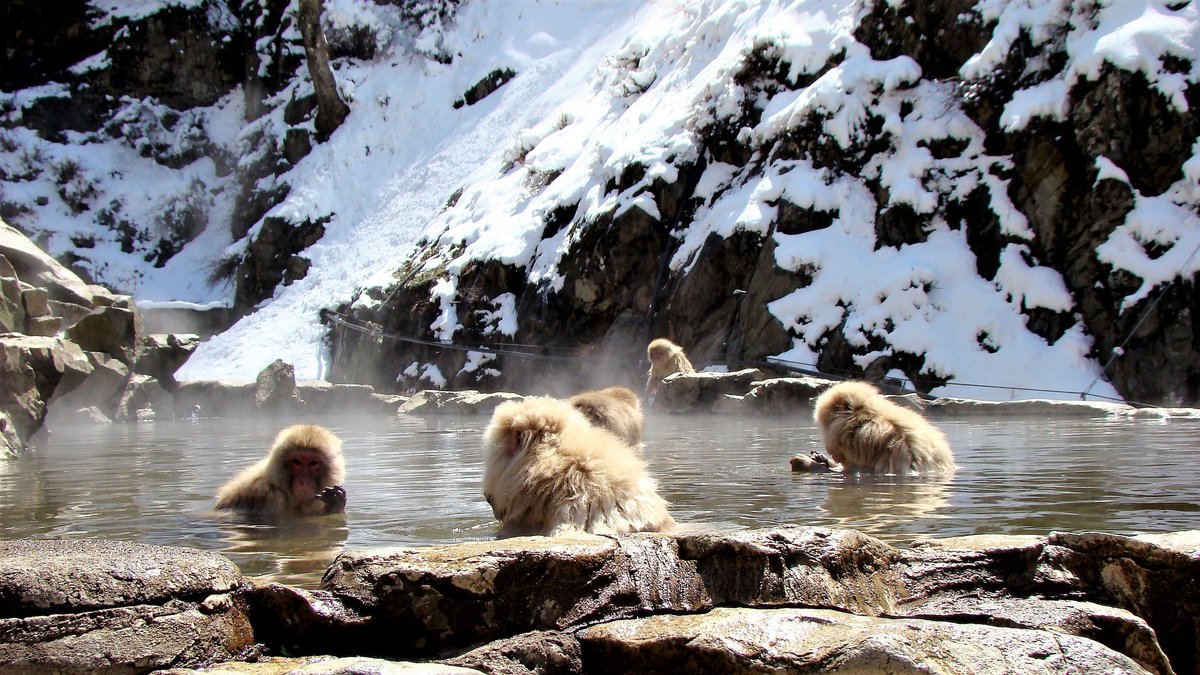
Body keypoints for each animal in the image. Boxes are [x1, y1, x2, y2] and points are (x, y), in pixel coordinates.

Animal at [214, 422, 348, 516]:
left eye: (313, 463)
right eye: (297, 462)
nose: (303, 481)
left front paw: (336, 502)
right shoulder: (271, 498)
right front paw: (334, 505)